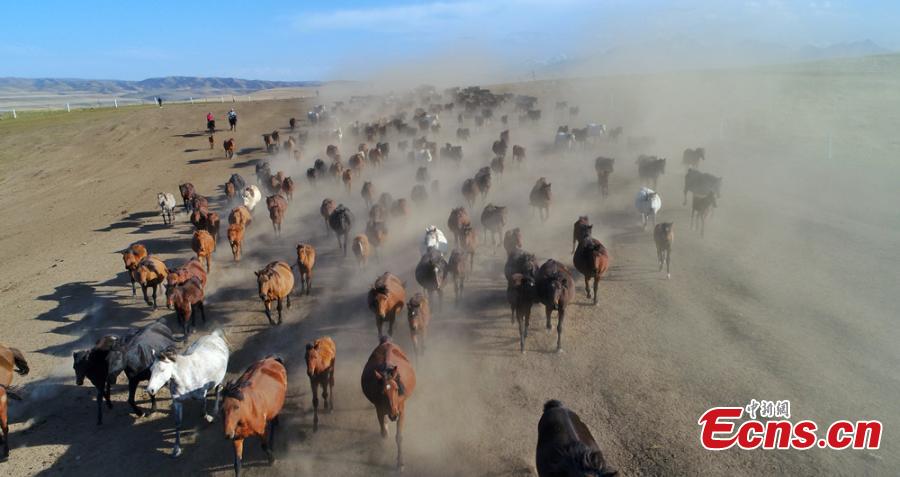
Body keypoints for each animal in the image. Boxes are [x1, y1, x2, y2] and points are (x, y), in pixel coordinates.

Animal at [358, 336, 414, 470]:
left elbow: (399, 437)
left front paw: (400, 463)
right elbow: (383, 433)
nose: (393, 415)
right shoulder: (379, 409)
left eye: (397, 389)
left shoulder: (401, 410)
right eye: (382, 392)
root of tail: (387, 342)